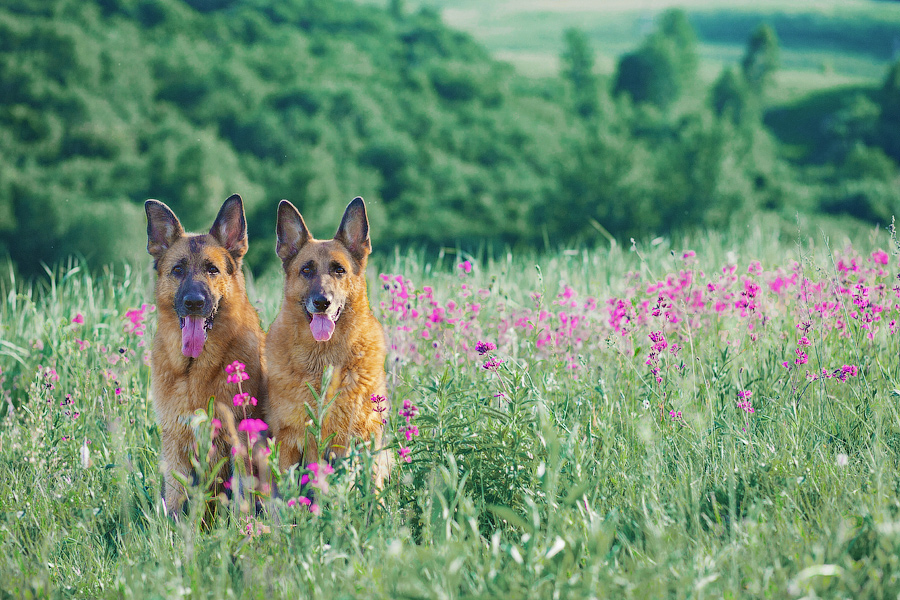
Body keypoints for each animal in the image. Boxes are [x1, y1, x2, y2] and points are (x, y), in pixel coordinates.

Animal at [145, 196, 268, 510]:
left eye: (212, 269)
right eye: (178, 270)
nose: (194, 302)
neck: (193, 371)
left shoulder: (238, 441)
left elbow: (242, 500)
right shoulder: (175, 445)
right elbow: (175, 502)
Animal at [268, 197, 392, 488]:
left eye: (339, 270)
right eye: (306, 270)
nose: (322, 302)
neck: (323, 359)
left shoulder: (355, 439)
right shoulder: (288, 442)